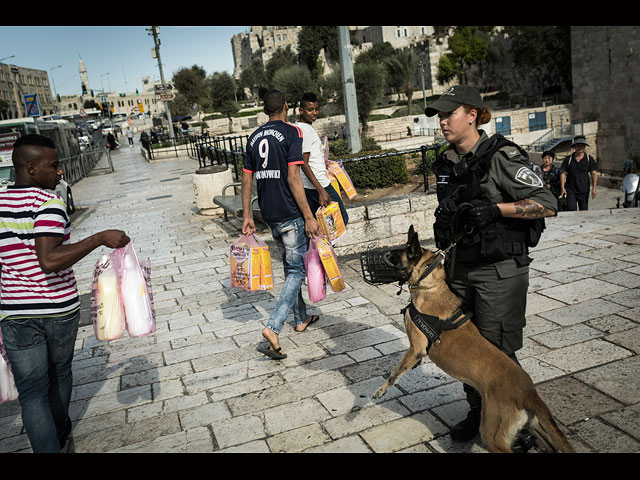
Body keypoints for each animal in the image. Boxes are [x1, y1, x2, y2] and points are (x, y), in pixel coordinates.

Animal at [370, 227, 576, 452]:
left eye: (392, 257)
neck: (430, 284)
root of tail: (528, 392)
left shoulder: (416, 348)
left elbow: (394, 373)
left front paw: (380, 391)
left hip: (492, 433)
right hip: (534, 425)